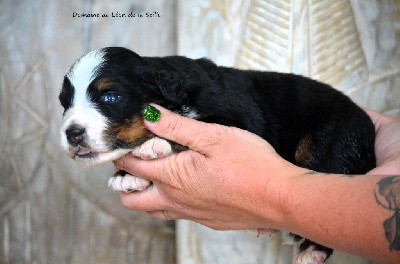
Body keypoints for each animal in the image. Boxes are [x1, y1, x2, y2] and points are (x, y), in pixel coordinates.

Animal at [58, 47, 376, 264]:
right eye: (64, 103)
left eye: (110, 97)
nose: (72, 133)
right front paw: (127, 175)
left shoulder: (240, 123)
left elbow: (195, 126)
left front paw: (152, 145)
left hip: (327, 141)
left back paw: (311, 250)